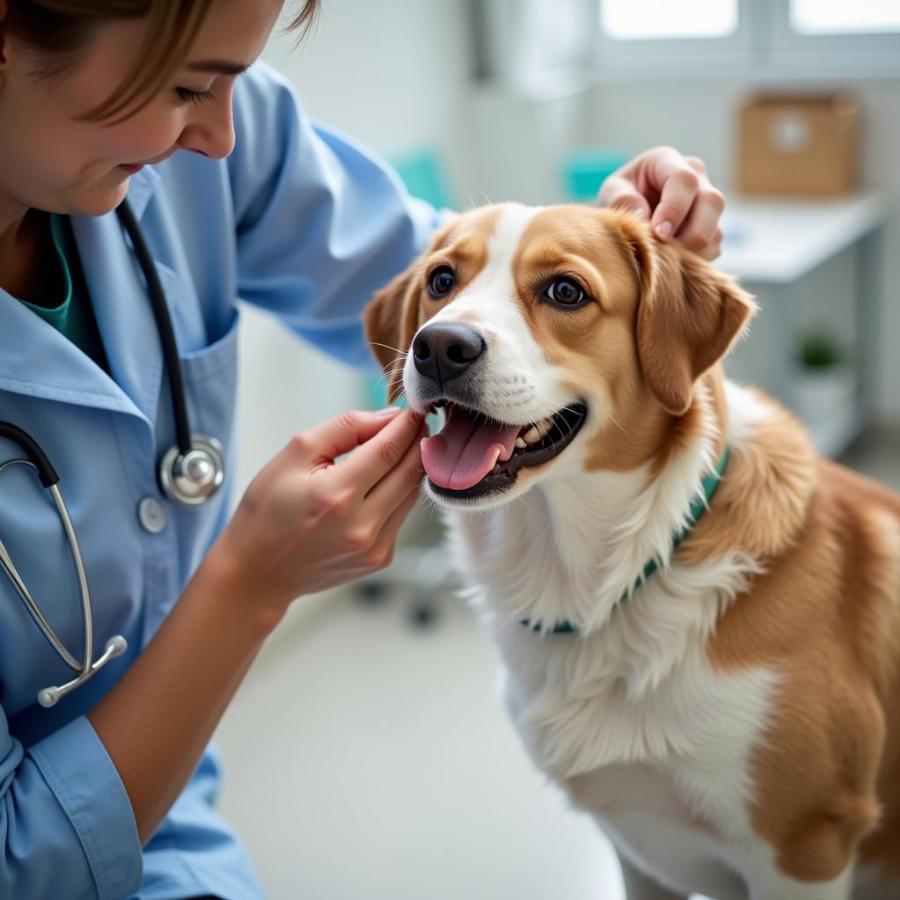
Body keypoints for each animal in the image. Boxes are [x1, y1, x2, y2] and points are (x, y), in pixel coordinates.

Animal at [362, 204, 900, 900]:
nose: (439, 347)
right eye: (441, 279)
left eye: (566, 291)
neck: (601, 582)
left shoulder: (804, 849)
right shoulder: (637, 847)